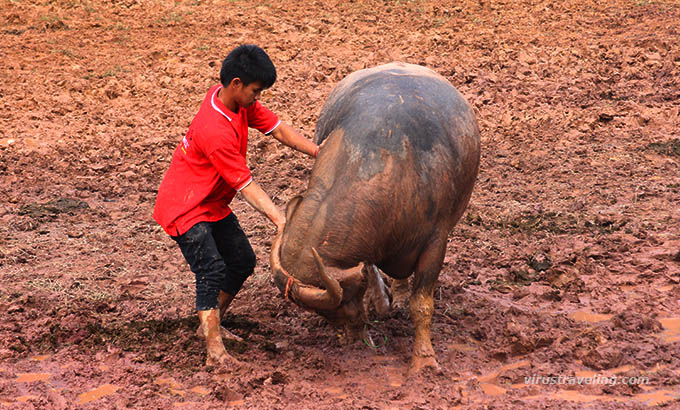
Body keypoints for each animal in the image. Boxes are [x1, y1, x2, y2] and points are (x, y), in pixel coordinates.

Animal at [268, 62, 480, 374]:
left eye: (342, 302)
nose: (352, 331)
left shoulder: (435, 243)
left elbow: (422, 304)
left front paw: (424, 360)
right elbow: (370, 268)